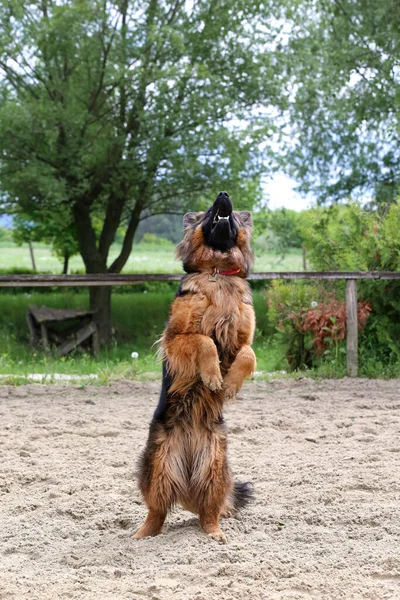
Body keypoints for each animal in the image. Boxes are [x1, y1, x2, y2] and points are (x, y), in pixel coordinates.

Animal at [132, 192, 256, 544]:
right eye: (209, 211)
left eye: (234, 215)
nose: (224, 194)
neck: (218, 269)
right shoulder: (175, 339)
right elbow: (204, 341)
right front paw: (213, 376)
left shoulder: (244, 338)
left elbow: (248, 354)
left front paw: (230, 385)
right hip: (159, 467)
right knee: (156, 511)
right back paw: (142, 535)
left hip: (214, 468)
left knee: (209, 512)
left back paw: (214, 533)